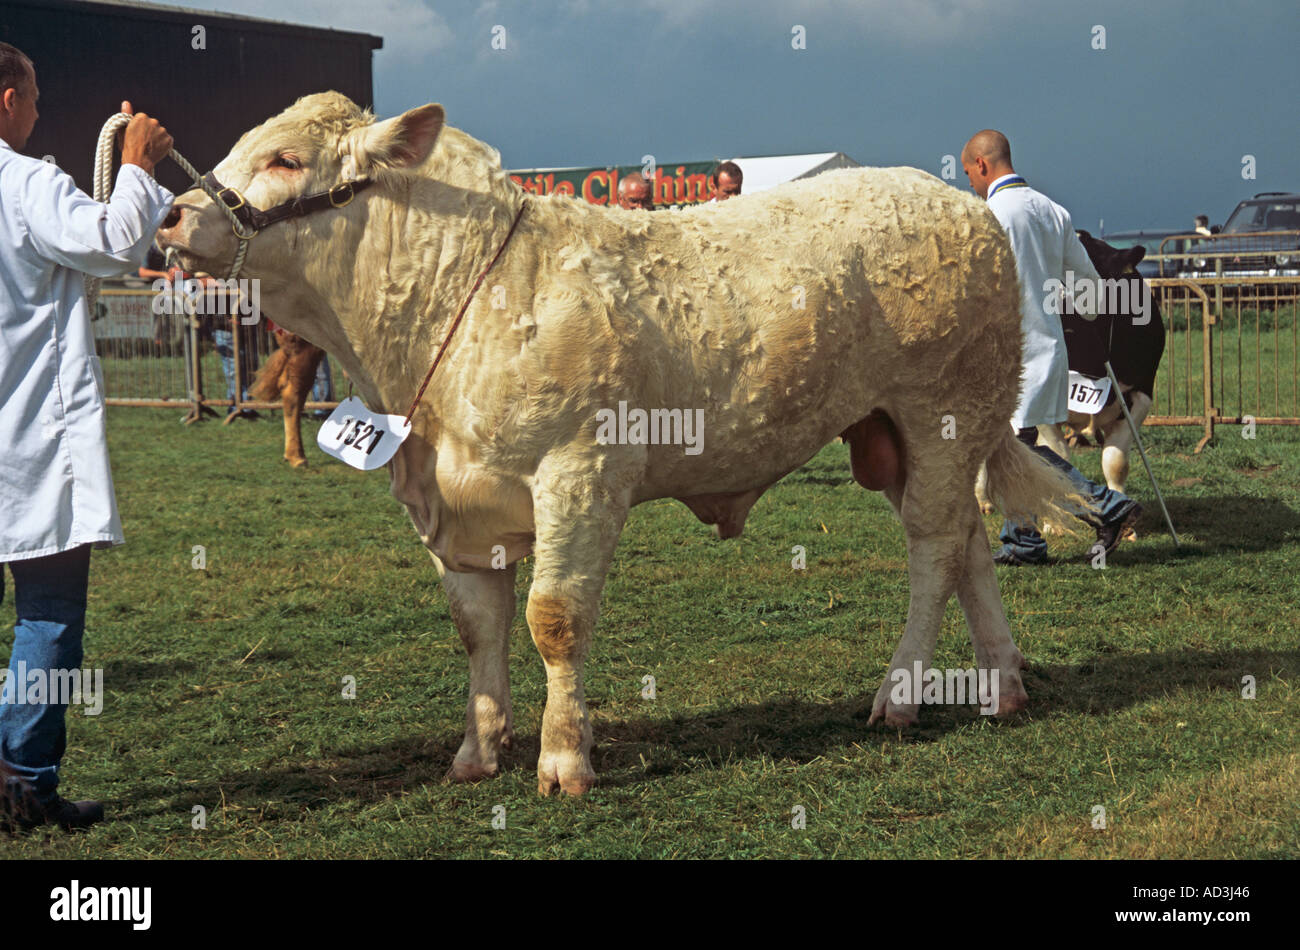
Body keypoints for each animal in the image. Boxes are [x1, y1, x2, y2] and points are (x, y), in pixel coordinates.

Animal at [157, 92, 1090, 797]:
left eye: (283, 159)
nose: (170, 215)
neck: (459, 302)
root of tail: (956, 204)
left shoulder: (579, 474)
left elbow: (553, 619)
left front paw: (564, 759)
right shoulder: (453, 507)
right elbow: (477, 627)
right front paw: (477, 751)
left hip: (941, 414)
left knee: (934, 549)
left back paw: (899, 694)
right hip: (897, 436)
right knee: (969, 542)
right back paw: (1002, 684)